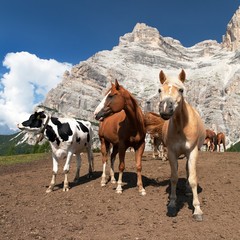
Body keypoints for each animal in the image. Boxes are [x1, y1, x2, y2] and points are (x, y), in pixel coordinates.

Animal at [158, 69, 205, 221]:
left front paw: (197, 210)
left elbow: (193, 179)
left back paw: (188, 190)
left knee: (189, 172)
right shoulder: (171, 153)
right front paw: (172, 205)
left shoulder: (193, 151)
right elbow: (173, 178)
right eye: (159, 90)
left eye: (181, 90)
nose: (165, 108)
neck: (181, 126)